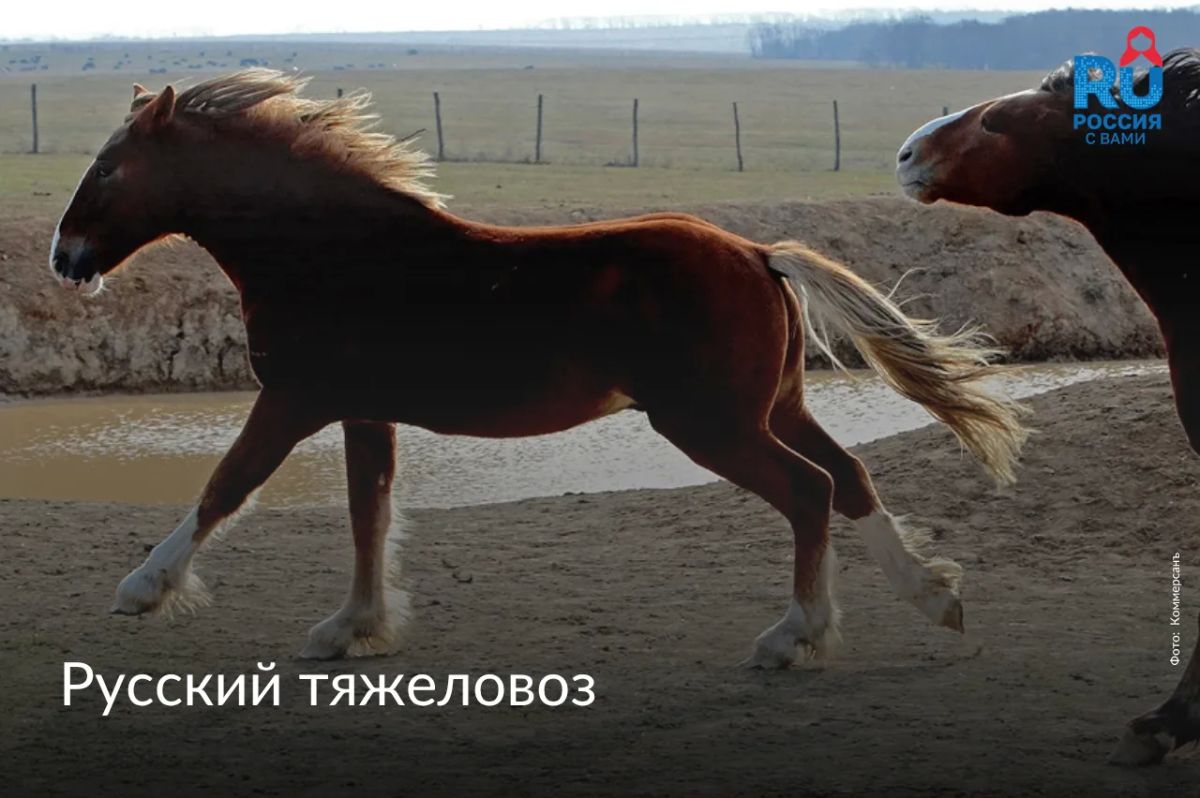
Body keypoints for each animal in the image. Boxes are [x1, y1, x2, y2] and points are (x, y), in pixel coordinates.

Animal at [50, 69, 1026, 668]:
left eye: (109, 167)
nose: (65, 258)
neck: (329, 250)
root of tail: (758, 253)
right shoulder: (364, 410)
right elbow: (369, 512)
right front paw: (355, 627)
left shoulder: (296, 398)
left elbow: (227, 485)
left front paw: (142, 590)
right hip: (772, 408)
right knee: (849, 475)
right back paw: (933, 598)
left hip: (709, 423)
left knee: (809, 492)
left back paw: (796, 638)